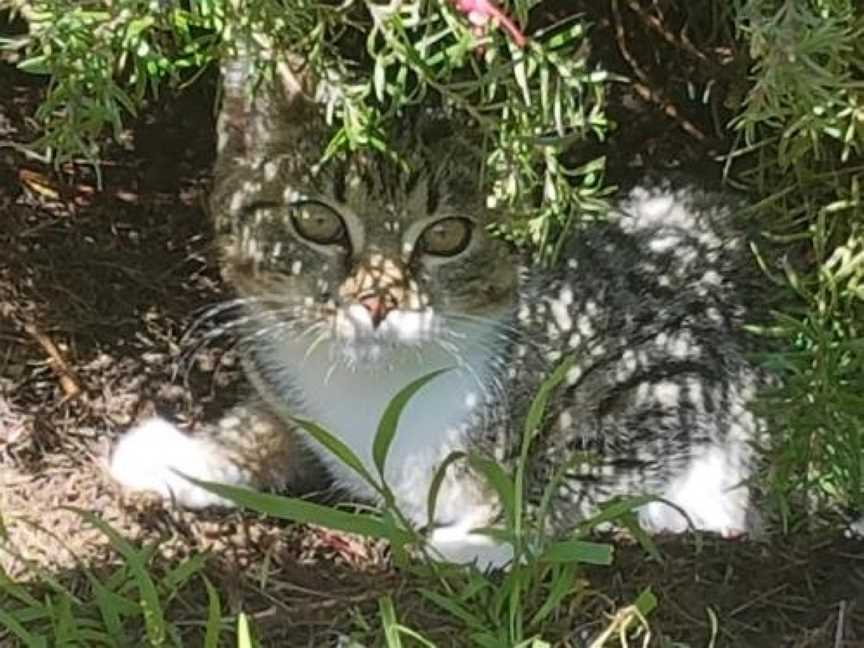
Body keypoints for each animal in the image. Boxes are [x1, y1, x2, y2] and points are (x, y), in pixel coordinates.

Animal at [109, 57, 768, 568]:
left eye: (448, 235)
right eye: (316, 220)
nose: (376, 300)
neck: (382, 382)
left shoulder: (673, 358)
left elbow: (578, 456)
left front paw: (485, 535)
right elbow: (275, 418)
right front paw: (191, 453)